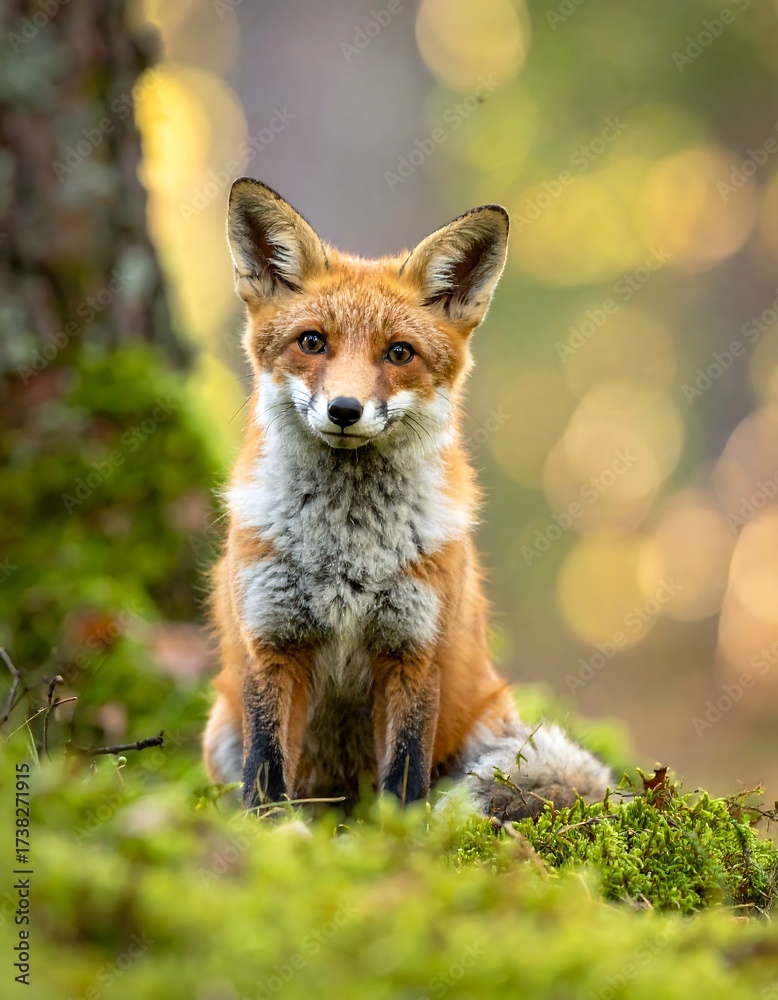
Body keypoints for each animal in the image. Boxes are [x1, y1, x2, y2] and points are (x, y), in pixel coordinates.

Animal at [203, 177, 611, 819]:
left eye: (398, 353)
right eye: (312, 342)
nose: (345, 410)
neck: (346, 548)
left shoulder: (413, 651)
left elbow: (404, 778)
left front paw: (398, 841)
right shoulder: (272, 641)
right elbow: (265, 773)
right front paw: (273, 832)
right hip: (221, 725)